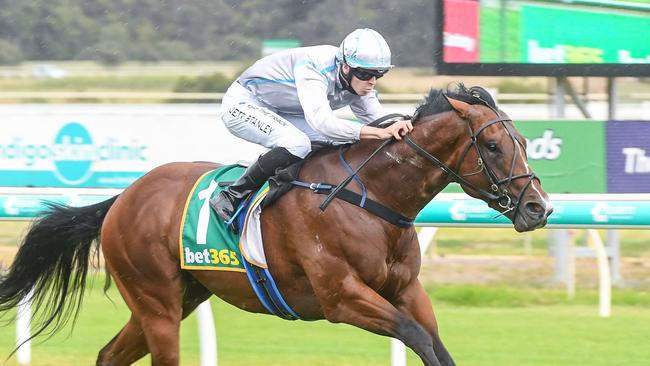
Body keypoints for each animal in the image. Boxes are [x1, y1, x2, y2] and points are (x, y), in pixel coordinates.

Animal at [0, 84, 548, 364]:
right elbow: (413, 335)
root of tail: (123, 197)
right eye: (493, 145)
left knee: (109, 355)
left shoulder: (407, 289)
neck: (372, 198)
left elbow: (433, 342)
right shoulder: (341, 298)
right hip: (156, 303)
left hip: (177, 297)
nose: (539, 208)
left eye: (525, 141)